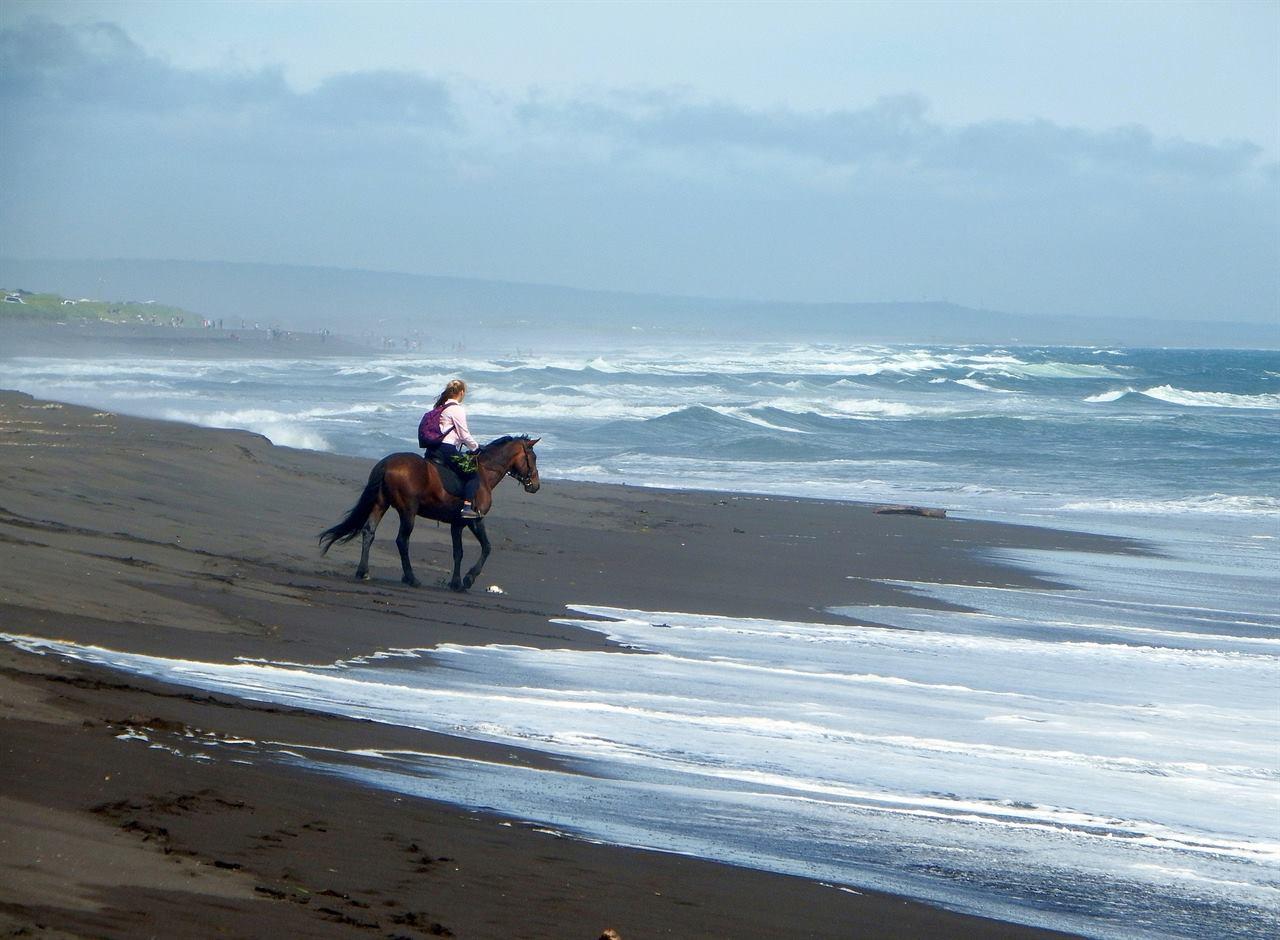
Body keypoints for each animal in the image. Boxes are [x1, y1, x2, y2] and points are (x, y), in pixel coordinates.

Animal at [322, 437, 542, 591]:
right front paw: (468, 579)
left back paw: (363, 571)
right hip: (408, 511)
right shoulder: (475, 520)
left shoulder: (457, 524)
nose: (536, 486)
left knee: (369, 532)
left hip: (380, 504)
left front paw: (456, 582)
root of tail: (386, 464)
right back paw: (411, 578)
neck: (484, 474)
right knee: (402, 541)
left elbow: (458, 552)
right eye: (533, 458)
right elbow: (486, 547)